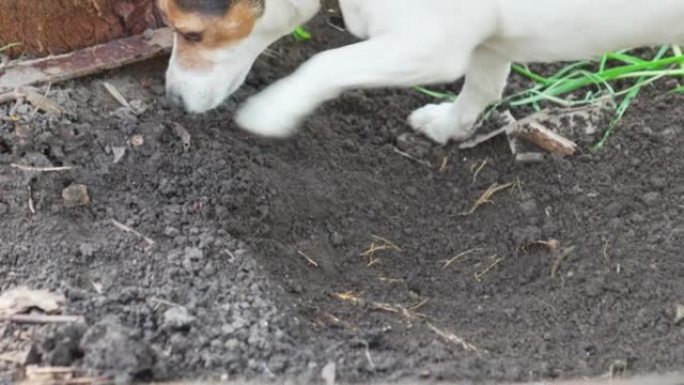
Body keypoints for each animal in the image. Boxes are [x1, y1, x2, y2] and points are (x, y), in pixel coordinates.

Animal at [159, 0, 684, 144]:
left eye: (191, 35)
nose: (172, 101)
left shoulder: (431, 44)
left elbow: (324, 62)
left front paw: (270, 112)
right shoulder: (488, 40)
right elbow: (483, 87)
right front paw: (448, 126)